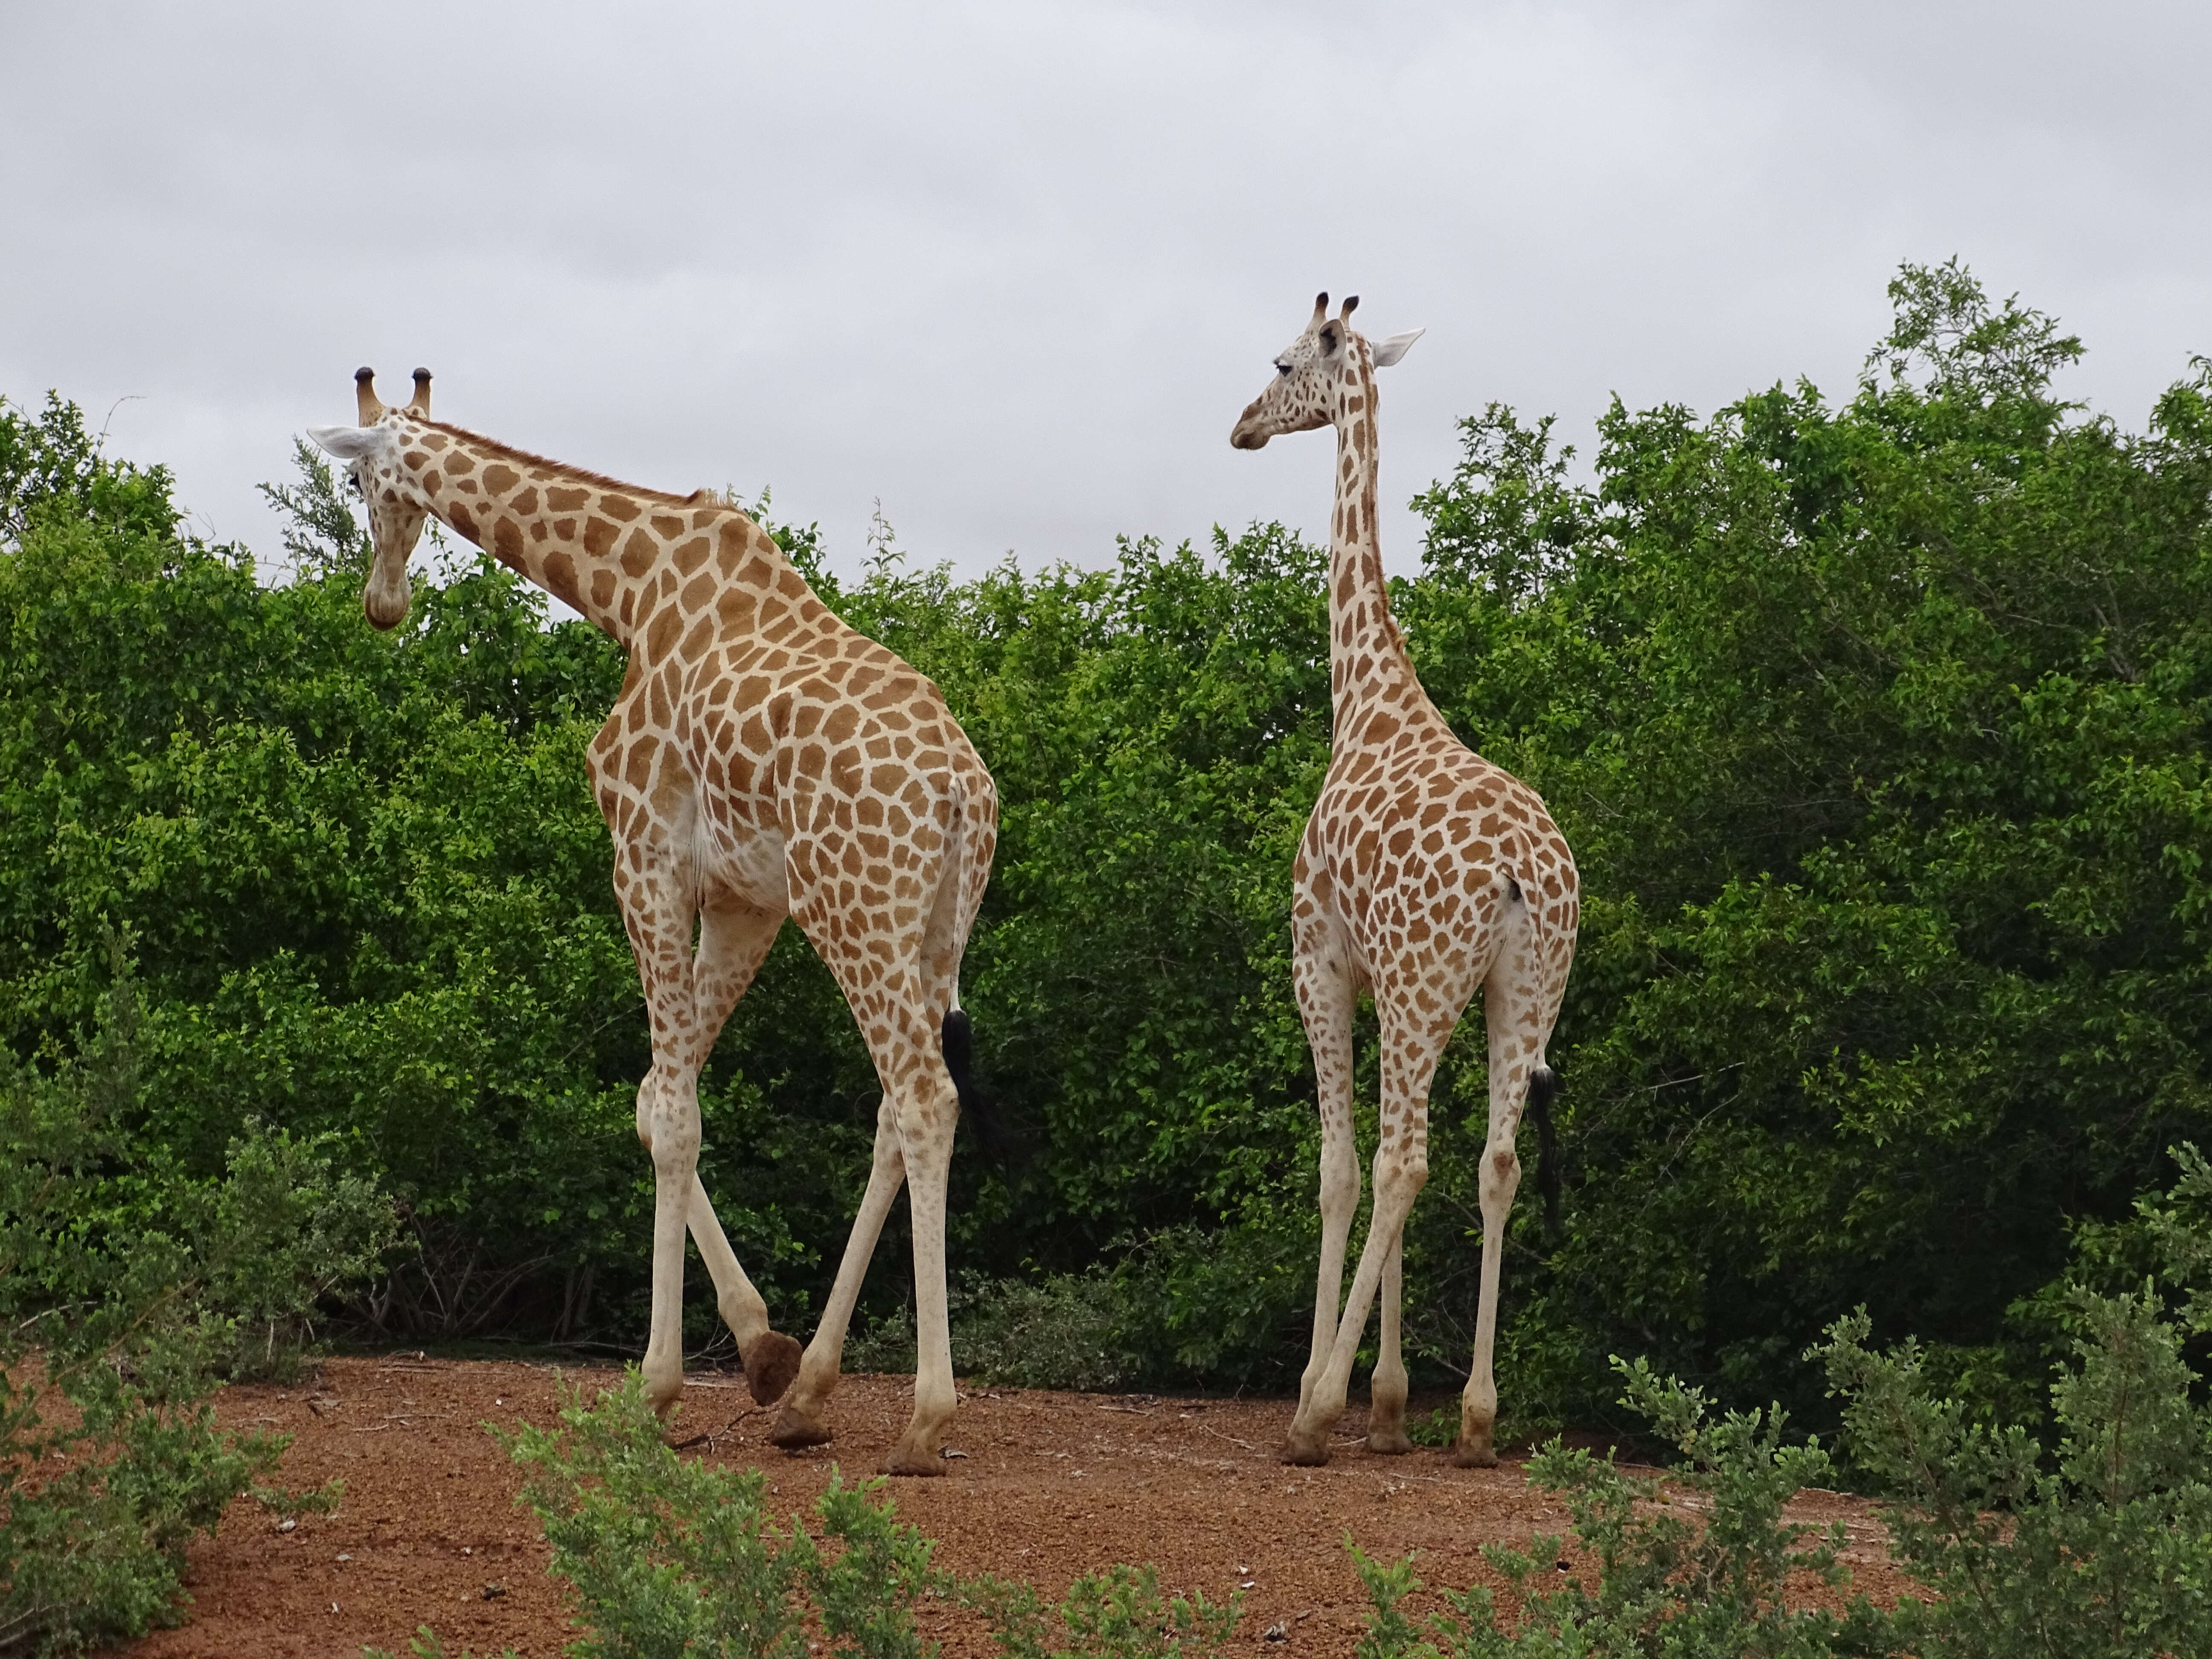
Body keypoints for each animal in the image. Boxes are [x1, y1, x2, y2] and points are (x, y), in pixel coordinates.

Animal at [311, 369, 1004, 1477]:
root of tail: (956, 793)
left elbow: (673, 1113)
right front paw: (764, 1352)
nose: (382, 606)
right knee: (892, 1115)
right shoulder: (745, 897)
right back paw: (810, 1394)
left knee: (923, 1098)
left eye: (361, 479)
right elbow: (653, 1096)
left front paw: (656, 1388)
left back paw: (925, 1418)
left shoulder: (643, 853)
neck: (631, 593)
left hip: (854, 907)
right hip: (936, 925)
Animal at [1230, 298, 1575, 1469]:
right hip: (1525, 991)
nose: (1243, 424)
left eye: (1284, 360)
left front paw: (1333, 1390)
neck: (1366, 701)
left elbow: (1339, 1168)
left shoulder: (1322, 961)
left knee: (1405, 1164)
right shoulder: (1393, 984)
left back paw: (1314, 1411)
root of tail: (1522, 873)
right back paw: (1475, 1417)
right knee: (1492, 1163)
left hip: (1434, 989)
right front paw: (1388, 1400)